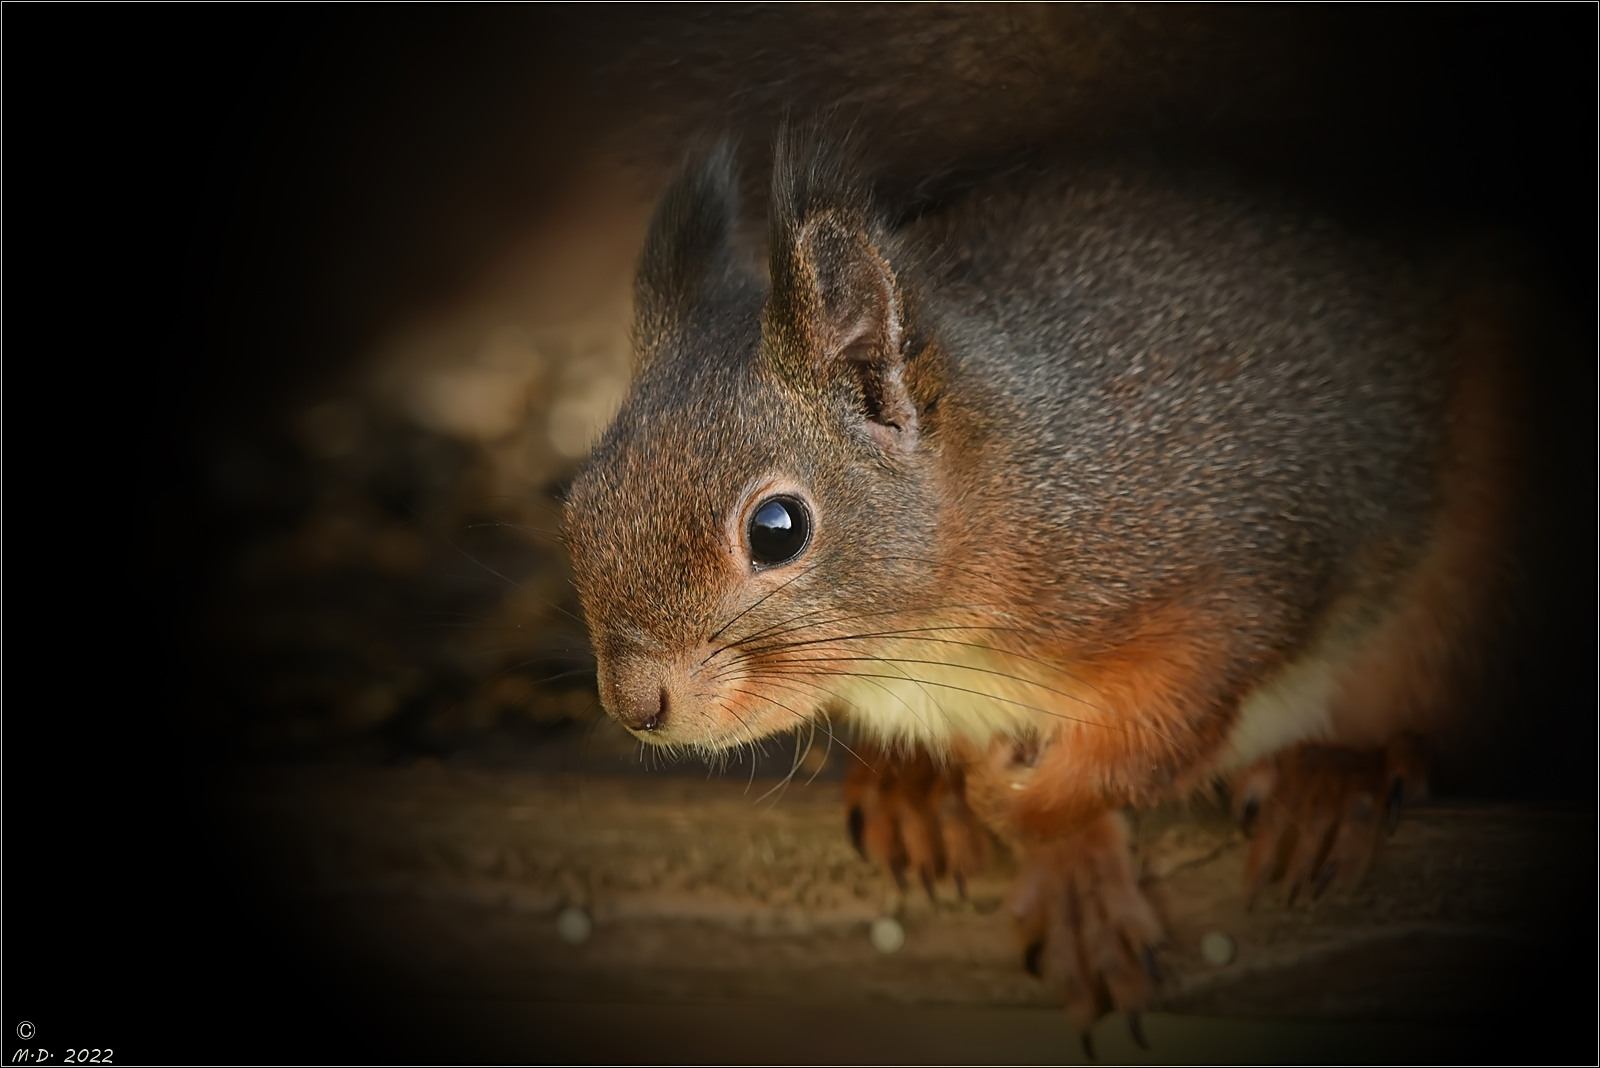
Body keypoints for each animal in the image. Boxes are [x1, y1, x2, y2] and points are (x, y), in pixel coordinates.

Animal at [563, 131, 1523, 1023]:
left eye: (777, 530)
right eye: (576, 500)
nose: (635, 705)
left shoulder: (1230, 573)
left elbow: (1164, 728)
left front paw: (1017, 797)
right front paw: (1034, 851)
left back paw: (1338, 775)